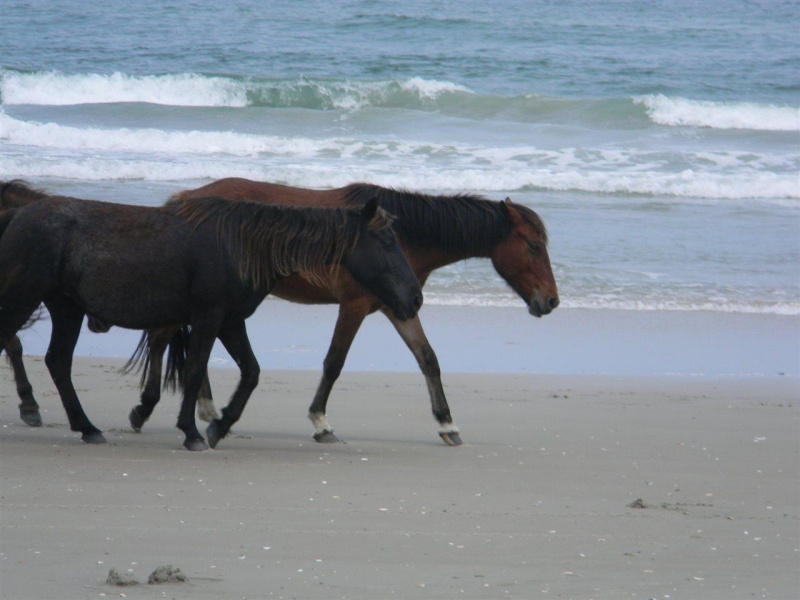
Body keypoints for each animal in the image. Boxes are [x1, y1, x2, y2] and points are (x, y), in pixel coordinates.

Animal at [0, 182, 422, 450]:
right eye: (386, 241)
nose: (415, 298)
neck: (242, 245)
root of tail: (17, 216)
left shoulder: (230, 321)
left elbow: (250, 373)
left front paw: (219, 425)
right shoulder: (208, 319)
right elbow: (195, 371)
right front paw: (192, 432)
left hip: (65, 308)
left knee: (58, 362)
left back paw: (87, 428)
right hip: (23, 299)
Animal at [134, 178, 560, 446]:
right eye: (534, 246)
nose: (552, 301)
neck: (400, 237)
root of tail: (183, 200)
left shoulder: (399, 307)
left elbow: (428, 359)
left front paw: (447, 424)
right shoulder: (354, 306)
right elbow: (334, 363)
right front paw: (321, 423)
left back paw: (205, 410)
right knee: (162, 339)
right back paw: (155, 410)